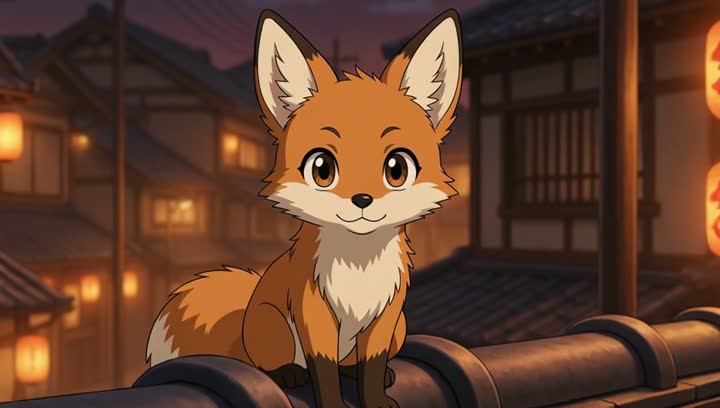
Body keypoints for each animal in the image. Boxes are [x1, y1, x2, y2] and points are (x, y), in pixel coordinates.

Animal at [145, 8, 463, 408]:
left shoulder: (385, 317)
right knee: (273, 363)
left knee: (353, 364)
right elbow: (323, 370)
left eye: (397, 168)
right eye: (322, 168)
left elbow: (372, 368)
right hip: (272, 322)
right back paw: (288, 373)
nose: (362, 200)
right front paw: (331, 401)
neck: (358, 269)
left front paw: (374, 396)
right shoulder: (315, 313)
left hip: (400, 328)